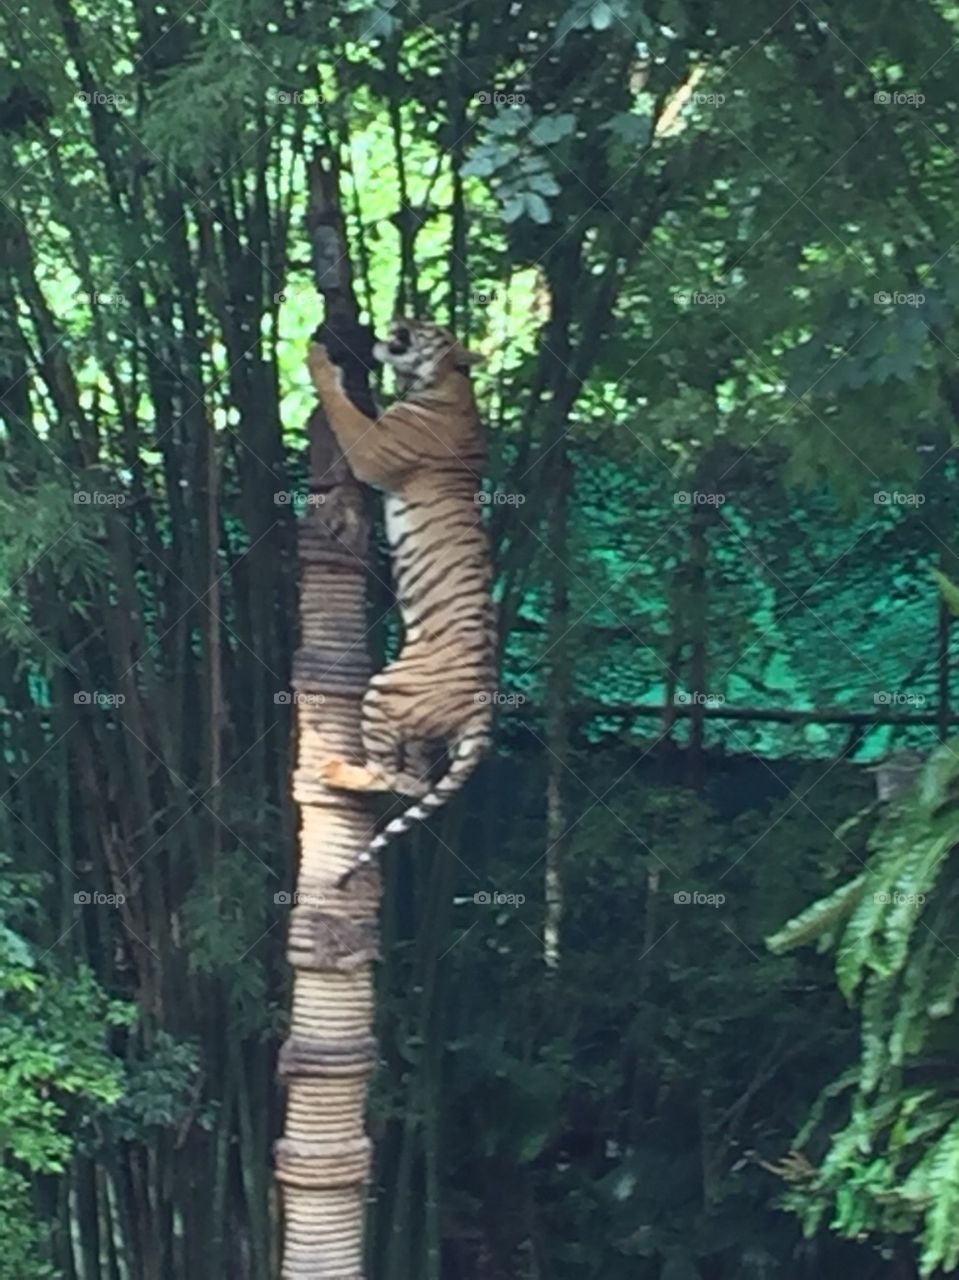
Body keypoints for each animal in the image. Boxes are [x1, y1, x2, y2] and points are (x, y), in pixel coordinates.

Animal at [307, 318, 497, 885]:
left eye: (429, 327)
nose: (400, 322)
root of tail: (485, 711)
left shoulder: (373, 447)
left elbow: (342, 408)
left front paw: (319, 359)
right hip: (417, 727)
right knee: (413, 782)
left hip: (386, 689)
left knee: (393, 778)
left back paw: (335, 770)